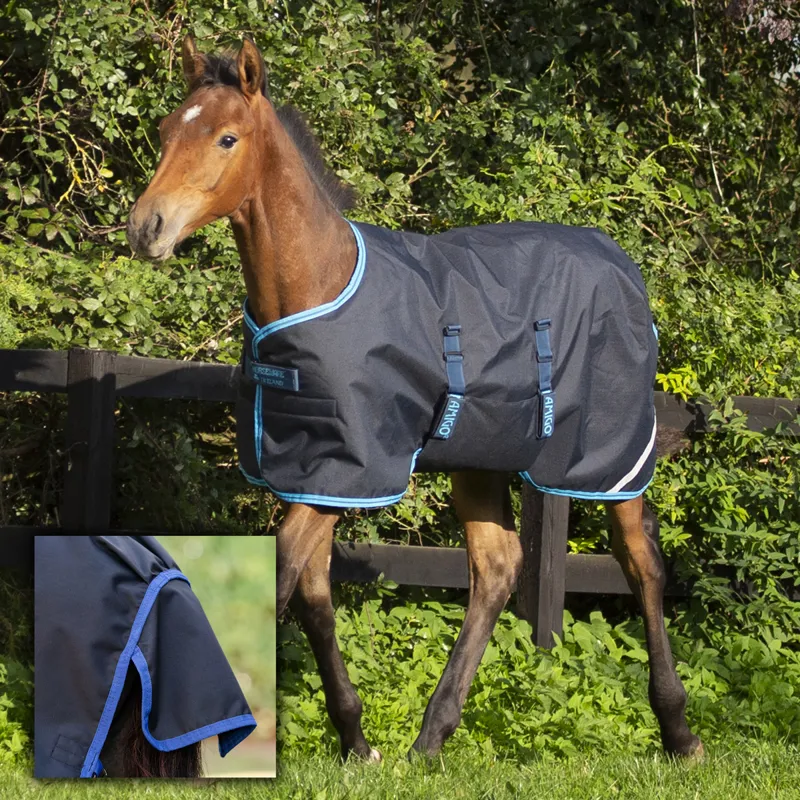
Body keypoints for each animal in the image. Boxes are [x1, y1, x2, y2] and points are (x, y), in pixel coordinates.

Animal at [127, 35, 703, 762]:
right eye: (166, 130)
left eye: (227, 138)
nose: (146, 227)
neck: (319, 286)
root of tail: (624, 267)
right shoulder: (318, 471)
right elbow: (313, 593)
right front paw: (356, 740)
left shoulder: (355, 468)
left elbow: (284, 573)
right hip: (481, 457)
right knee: (497, 567)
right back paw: (431, 737)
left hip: (607, 456)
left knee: (642, 562)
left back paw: (679, 731)